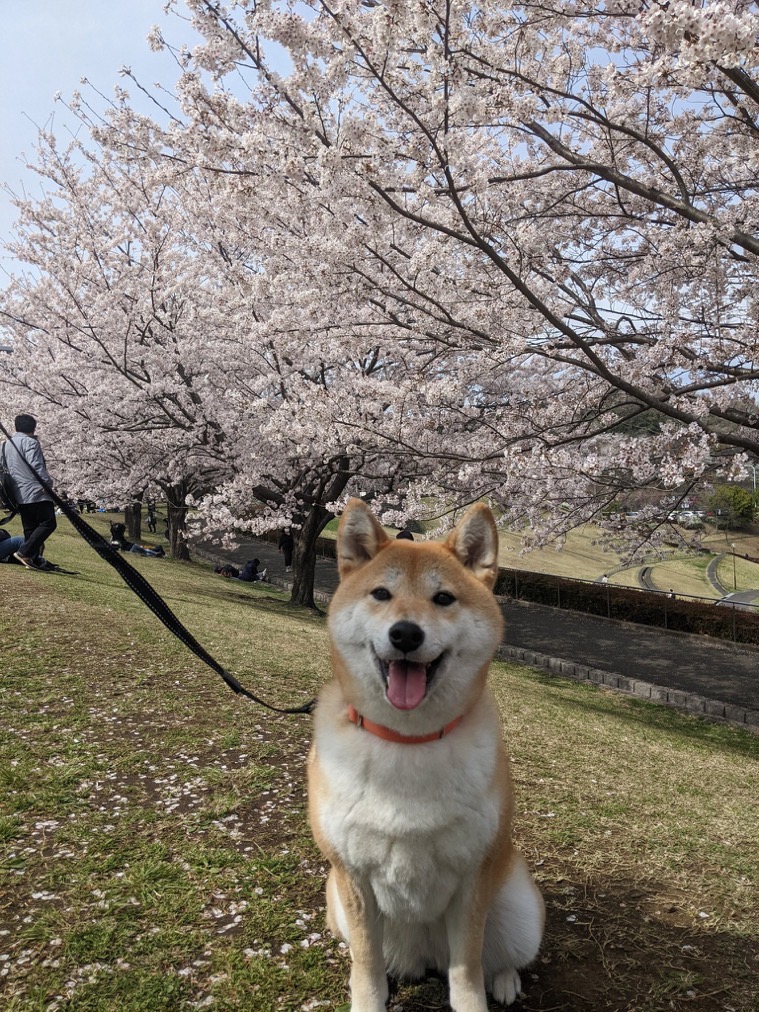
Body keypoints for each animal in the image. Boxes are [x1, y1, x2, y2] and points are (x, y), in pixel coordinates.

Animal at [309, 499, 546, 1011]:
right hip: (336, 902)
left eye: (443, 599)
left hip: (519, 908)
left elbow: (467, 967)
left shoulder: (474, 875)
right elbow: (366, 961)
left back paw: (505, 981)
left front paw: (475, 1000)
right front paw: (367, 998)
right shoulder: (352, 877)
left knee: (500, 957)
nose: (405, 634)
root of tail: (424, 957)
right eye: (381, 593)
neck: (408, 740)